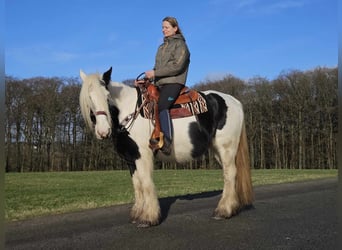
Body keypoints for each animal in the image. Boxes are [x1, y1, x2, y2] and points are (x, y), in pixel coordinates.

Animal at [79, 67, 252, 228]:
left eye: (107, 97)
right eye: (89, 99)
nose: (103, 132)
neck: (129, 111)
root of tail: (235, 102)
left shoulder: (143, 155)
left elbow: (146, 183)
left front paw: (148, 218)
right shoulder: (130, 159)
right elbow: (137, 185)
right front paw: (137, 214)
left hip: (226, 148)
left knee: (230, 174)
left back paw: (223, 211)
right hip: (217, 150)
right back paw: (232, 207)